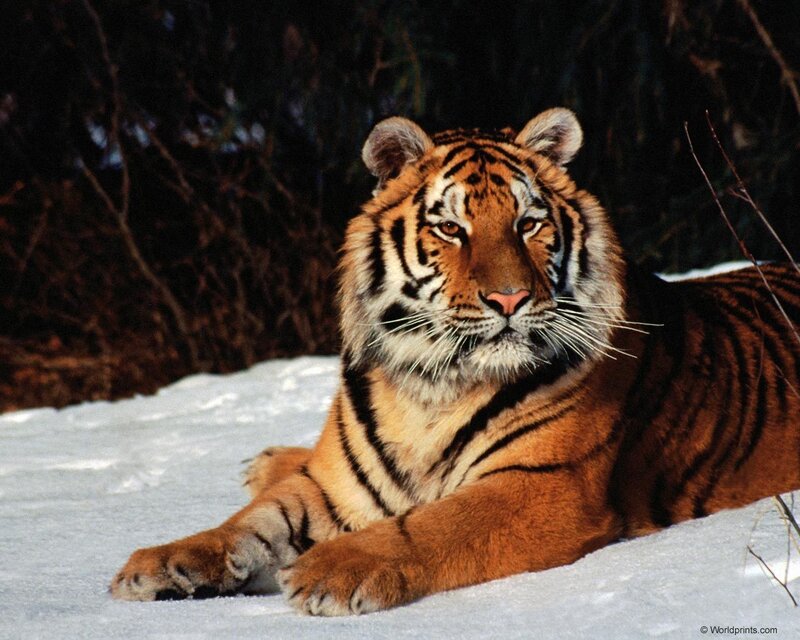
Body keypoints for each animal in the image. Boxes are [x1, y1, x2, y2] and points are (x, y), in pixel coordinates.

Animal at [111, 108, 800, 615]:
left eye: (528, 224)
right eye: (450, 229)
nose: (510, 298)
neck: (432, 385)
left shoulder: (542, 485)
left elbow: (433, 525)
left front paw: (330, 570)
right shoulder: (335, 482)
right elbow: (250, 524)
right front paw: (161, 563)